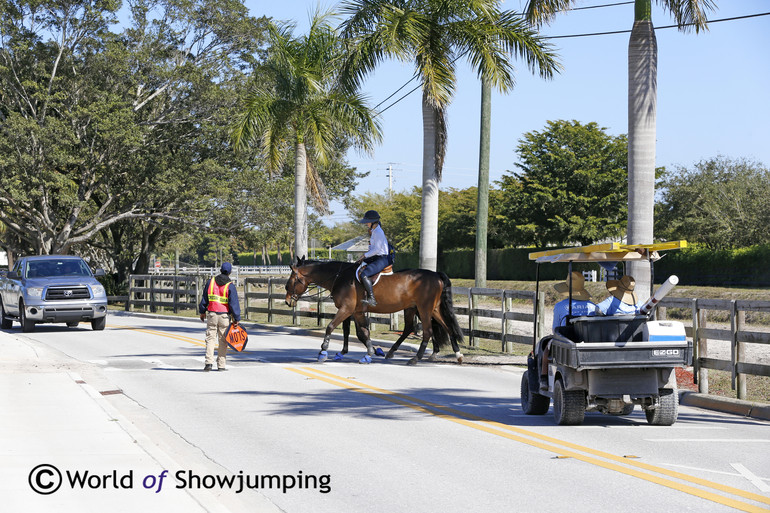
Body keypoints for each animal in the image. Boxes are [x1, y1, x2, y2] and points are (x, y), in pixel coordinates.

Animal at [282, 256, 462, 364]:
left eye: (290, 281)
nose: (287, 301)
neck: (339, 276)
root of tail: (435, 274)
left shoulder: (346, 309)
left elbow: (331, 327)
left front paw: (323, 351)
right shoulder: (356, 312)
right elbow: (362, 333)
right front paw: (370, 352)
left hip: (424, 308)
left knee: (428, 331)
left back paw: (415, 358)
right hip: (427, 309)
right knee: (444, 327)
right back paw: (458, 354)